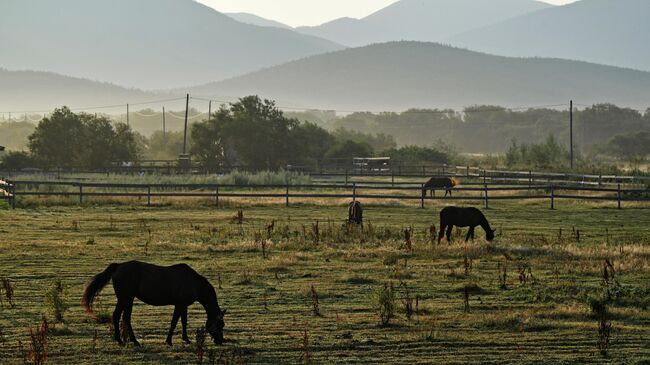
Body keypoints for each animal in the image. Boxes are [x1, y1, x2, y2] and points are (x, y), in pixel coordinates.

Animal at [81, 260, 225, 346]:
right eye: (220, 324)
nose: (220, 341)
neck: (193, 282)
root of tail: (118, 266)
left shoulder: (183, 305)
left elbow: (184, 321)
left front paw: (186, 339)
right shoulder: (179, 305)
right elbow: (174, 322)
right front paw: (169, 341)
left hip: (126, 299)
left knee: (121, 317)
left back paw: (126, 340)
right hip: (126, 298)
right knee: (122, 317)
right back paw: (128, 341)